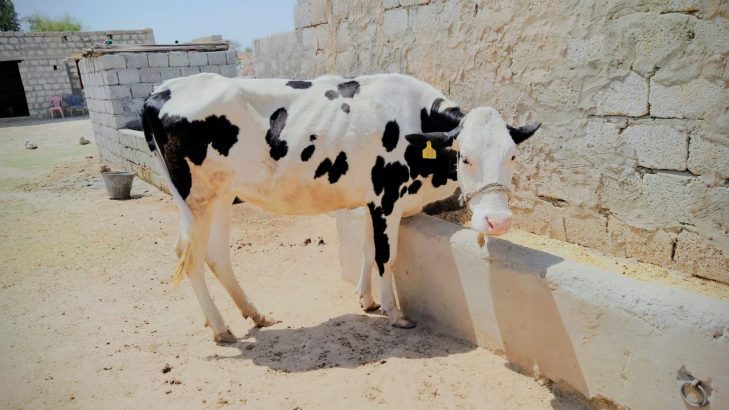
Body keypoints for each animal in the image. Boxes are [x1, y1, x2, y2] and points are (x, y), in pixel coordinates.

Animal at [141, 73, 540, 343]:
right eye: (465, 157)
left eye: (512, 155)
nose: (498, 221)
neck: (414, 120)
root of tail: (160, 91)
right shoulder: (387, 197)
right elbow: (385, 255)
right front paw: (394, 312)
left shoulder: (371, 198)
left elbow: (366, 248)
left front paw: (366, 299)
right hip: (196, 199)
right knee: (190, 257)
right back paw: (222, 329)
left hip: (220, 196)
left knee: (216, 256)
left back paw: (255, 314)